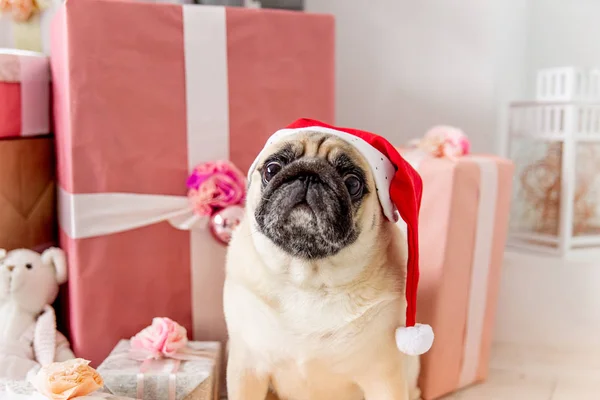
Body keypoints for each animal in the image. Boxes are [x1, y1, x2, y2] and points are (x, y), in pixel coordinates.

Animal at [224, 119, 426, 400]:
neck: (308, 278)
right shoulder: (247, 369)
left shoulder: (384, 379)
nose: (309, 174)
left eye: (352, 183)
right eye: (272, 169)